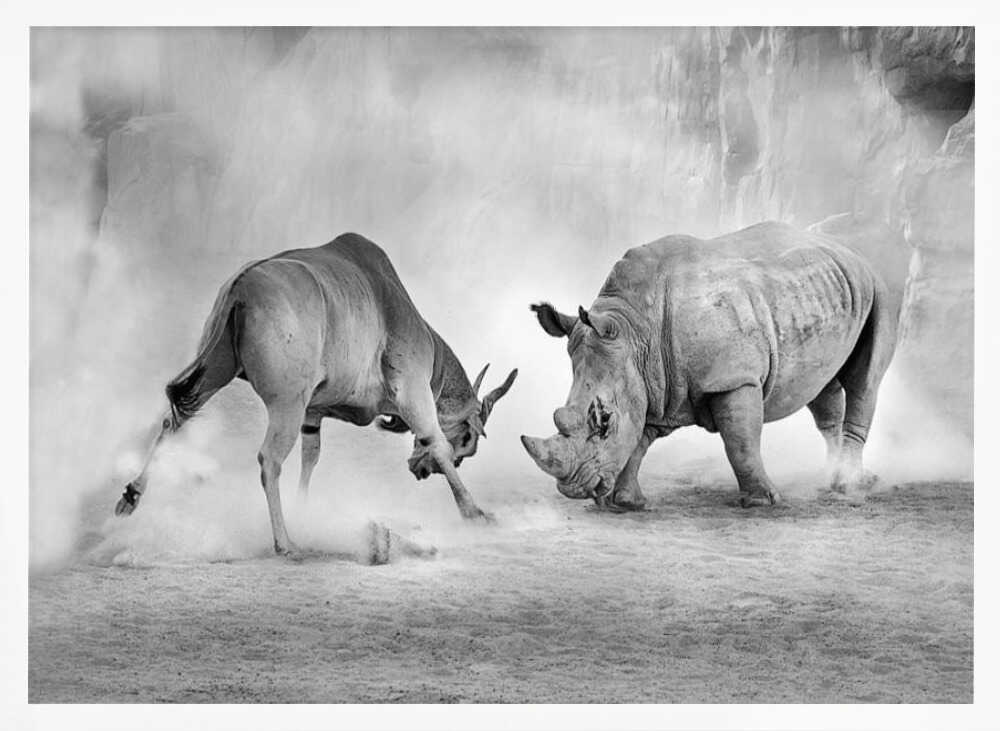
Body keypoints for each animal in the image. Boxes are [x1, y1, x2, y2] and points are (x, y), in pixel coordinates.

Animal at [116, 233, 517, 555]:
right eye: (466, 440)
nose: (420, 471)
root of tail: (241, 287)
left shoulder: (313, 413)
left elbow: (311, 458)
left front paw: (304, 510)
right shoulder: (412, 395)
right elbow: (437, 443)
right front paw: (475, 512)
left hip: (214, 377)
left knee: (173, 423)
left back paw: (131, 496)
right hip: (286, 405)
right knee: (269, 460)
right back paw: (285, 543)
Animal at [521, 221, 903, 509]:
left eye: (604, 421)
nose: (573, 490)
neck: (636, 331)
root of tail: (849, 249)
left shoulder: (733, 378)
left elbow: (741, 444)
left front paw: (763, 502)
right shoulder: (654, 383)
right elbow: (638, 441)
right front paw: (626, 503)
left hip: (878, 290)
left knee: (865, 381)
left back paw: (846, 485)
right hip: (826, 290)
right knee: (822, 387)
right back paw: (837, 477)